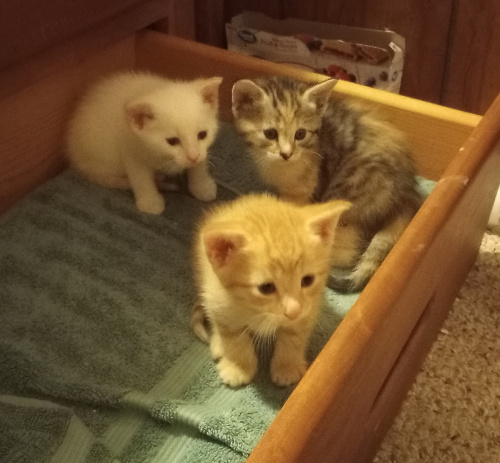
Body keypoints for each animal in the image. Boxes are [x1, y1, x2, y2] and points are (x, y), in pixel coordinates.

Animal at [67, 71, 223, 216]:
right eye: (172, 141)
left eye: (202, 135)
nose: (193, 157)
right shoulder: (130, 150)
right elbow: (140, 178)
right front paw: (150, 202)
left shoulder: (202, 151)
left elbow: (200, 164)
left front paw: (202, 186)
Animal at [189, 193, 350, 388]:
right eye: (266, 288)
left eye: (307, 280)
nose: (293, 311)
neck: (256, 310)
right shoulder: (218, 300)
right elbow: (233, 336)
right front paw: (238, 367)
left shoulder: (309, 307)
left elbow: (294, 336)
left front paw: (287, 367)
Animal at [232, 76, 424, 294]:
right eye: (270, 133)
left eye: (300, 134)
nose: (287, 154)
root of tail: (407, 191)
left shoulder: (306, 191)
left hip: (349, 188)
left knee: (348, 251)